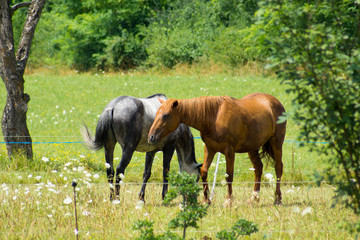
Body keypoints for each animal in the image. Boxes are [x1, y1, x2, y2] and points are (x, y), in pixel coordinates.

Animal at [148, 93, 286, 205]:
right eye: (157, 113)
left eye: (165, 115)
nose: (151, 137)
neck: (214, 117)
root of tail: (275, 102)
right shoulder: (210, 149)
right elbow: (204, 171)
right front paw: (206, 200)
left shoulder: (229, 152)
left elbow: (229, 176)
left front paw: (228, 201)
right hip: (252, 148)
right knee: (258, 168)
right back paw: (254, 198)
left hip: (276, 144)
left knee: (278, 168)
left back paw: (278, 199)